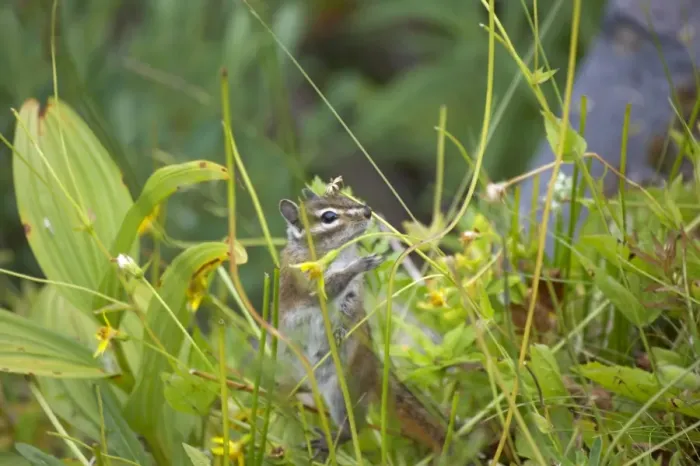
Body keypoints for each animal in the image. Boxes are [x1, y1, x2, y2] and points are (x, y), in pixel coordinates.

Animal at [276, 187, 449, 460]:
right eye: (328, 217)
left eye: (345, 197)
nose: (367, 211)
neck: (336, 254)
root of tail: (376, 369)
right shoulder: (303, 277)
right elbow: (324, 290)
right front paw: (358, 265)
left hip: (342, 389)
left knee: (356, 426)